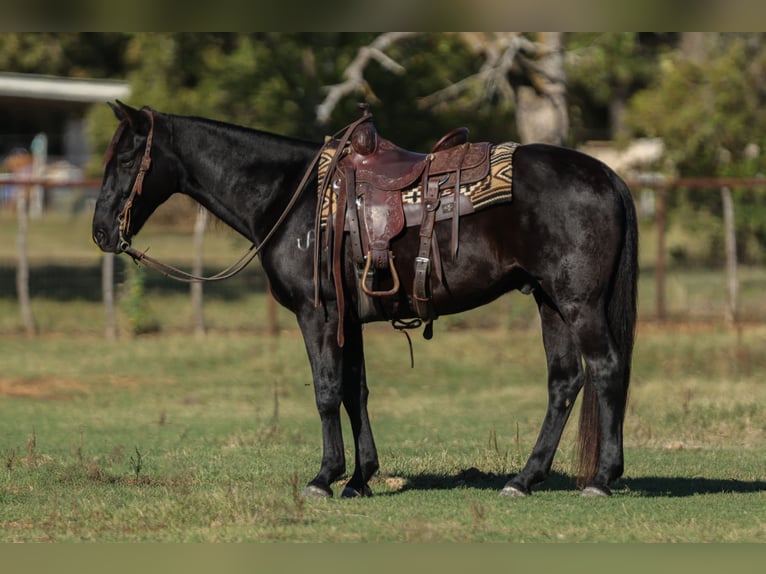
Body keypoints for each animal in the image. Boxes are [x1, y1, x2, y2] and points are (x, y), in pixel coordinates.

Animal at [92, 101, 638, 498]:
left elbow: (327, 390)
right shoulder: (348, 320)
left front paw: (323, 478)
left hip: (578, 303)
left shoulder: (318, 314)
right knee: (564, 382)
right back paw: (524, 479)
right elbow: (356, 392)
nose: (100, 231)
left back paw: (601, 480)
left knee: (606, 369)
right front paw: (359, 479)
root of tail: (608, 176)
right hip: (550, 302)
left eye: (126, 158)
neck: (291, 197)